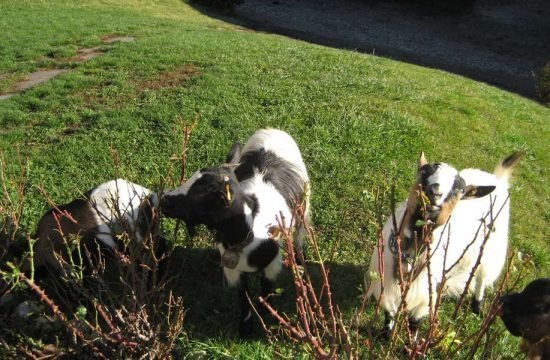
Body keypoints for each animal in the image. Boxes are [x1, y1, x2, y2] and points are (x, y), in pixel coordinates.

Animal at [162, 128, 312, 336]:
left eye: (199, 197)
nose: (163, 200)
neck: (249, 233)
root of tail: (272, 129)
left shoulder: (272, 264)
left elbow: (267, 289)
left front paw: (267, 317)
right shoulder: (235, 270)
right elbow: (244, 295)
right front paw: (246, 327)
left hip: (302, 209)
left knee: (298, 238)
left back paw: (301, 265)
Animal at [366, 151, 528, 334]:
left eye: (460, 190)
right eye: (423, 171)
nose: (435, 192)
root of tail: (496, 178)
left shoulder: (425, 295)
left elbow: (415, 322)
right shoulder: (387, 283)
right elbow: (389, 314)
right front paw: (385, 334)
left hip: (490, 247)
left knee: (482, 276)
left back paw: (477, 307)